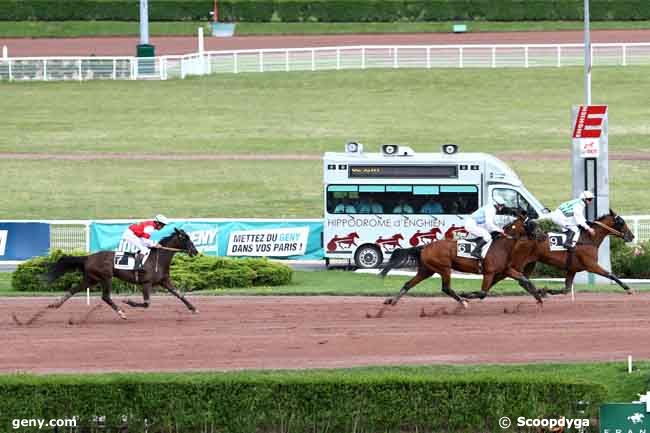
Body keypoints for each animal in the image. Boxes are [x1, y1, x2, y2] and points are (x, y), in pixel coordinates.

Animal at [47, 228, 199, 318]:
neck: (158, 259)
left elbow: (179, 294)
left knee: (74, 289)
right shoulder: (146, 283)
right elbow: (146, 303)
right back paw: (121, 312)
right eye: (185, 238)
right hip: (105, 277)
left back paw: (55, 304)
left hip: (91, 279)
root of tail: (88, 257)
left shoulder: (164, 281)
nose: (195, 251)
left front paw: (193, 308)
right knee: (105, 297)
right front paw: (128, 301)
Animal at [380, 213, 536, 308]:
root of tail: (425, 247)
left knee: (408, 284)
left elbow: (523, 278)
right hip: (444, 268)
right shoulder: (489, 272)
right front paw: (466, 295)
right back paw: (462, 301)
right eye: (529, 223)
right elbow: (483, 293)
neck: (501, 245)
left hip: (426, 270)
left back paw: (392, 300)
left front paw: (537, 293)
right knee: (446, 288)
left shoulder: (506, 269)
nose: (537, 234)